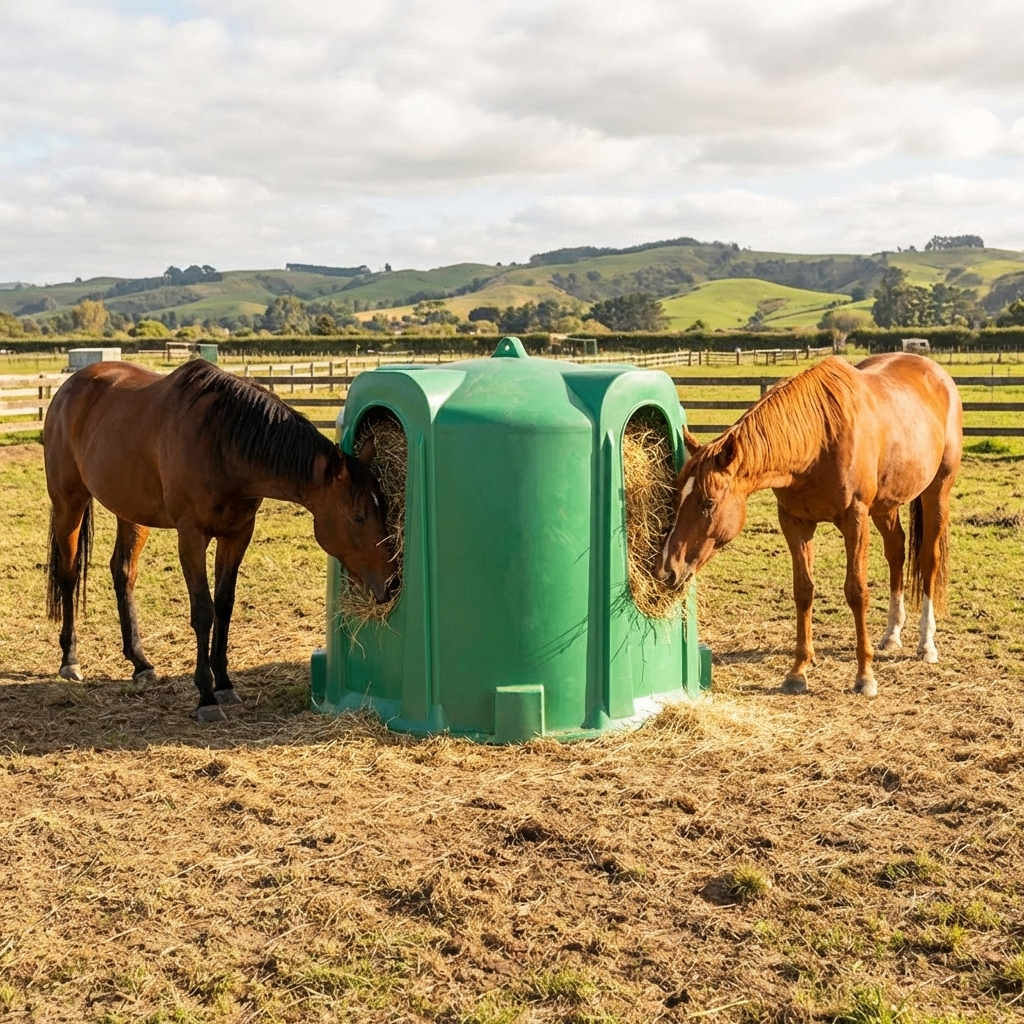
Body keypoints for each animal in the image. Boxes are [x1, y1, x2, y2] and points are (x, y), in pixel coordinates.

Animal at [43, 358, 393, 721]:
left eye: (385, 507)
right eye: (358, 516)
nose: (391, 583)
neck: (221, 443)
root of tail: (70, 387)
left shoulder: (238, 534)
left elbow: (224, 604)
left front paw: (223, 682)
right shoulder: (191, 537)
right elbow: (203, 611)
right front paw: (206, 697)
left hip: (130, 511)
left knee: (123, 572)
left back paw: (140, 663)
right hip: (69, 502)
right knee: (69, 573)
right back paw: (70, 660)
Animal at [655, 354, 962, 697]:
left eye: (708, 503)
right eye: (675, 497)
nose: (667, 570)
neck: (820, 440)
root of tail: (936, 372)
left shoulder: (855, 518)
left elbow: (856, 592)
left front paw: (864, 676)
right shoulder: (795, 522)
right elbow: (803, 590)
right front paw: (797, 671)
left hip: (937, 492)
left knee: (929, 560)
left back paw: (926, 645)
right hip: (886, 504)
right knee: (896, 551)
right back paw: (892, 635)